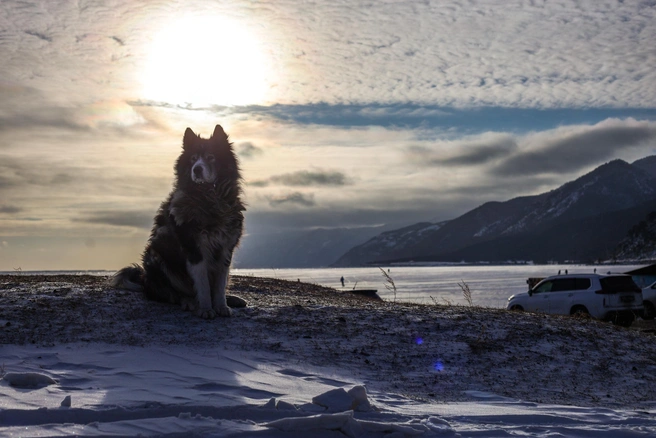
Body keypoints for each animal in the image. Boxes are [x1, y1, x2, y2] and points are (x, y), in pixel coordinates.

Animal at [113, 123, 246, 318]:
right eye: (193, 159)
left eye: (210, 157)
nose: (197, 169)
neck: (209, 198)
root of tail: (145, 280)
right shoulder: (193, 248)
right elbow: (203, 285)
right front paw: (206, 308)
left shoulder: (225, 249)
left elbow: (219, 286)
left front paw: (221, 306)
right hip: (158, 257)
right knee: (170, 294)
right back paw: (189, 301)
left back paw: (232, 299)